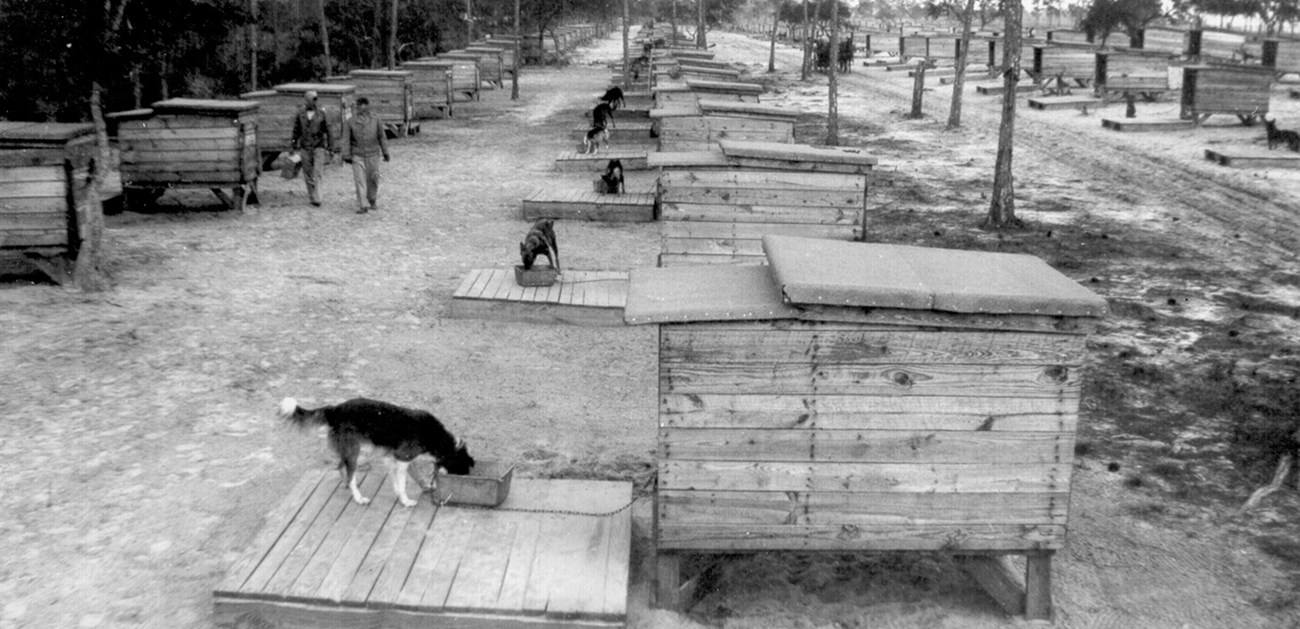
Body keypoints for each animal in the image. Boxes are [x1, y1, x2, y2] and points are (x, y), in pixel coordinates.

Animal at [279, 395, 478, 509]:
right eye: (463, 472)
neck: (437, 438)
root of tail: (334, 408)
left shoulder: (397, 458)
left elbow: (412, 477)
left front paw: (424, 488)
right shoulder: (401, 459)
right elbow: (402, 484)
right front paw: (406, 501)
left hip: (347, 450)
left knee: (341, 468)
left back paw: (346, 485)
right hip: (354, 452)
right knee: (351, 476)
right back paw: (359, 498)